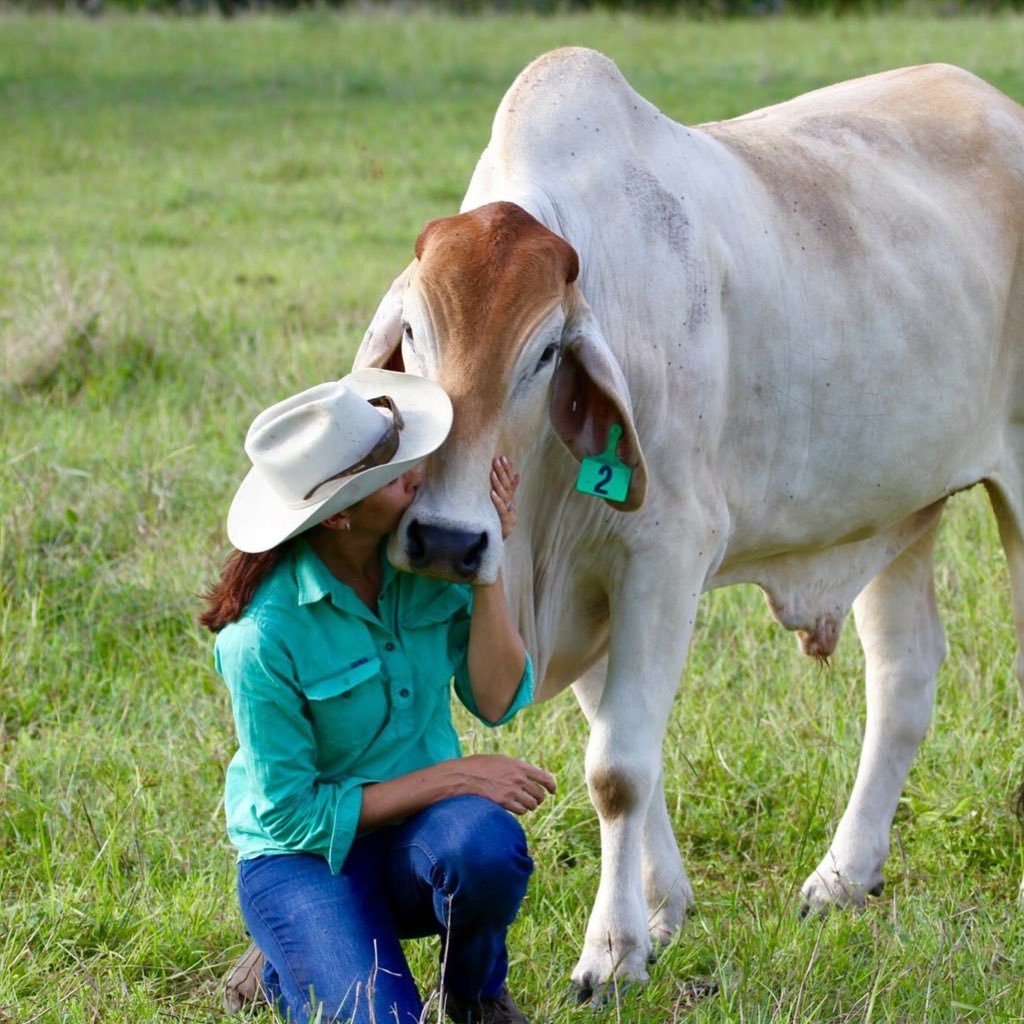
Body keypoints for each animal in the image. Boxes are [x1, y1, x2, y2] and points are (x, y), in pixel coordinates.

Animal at [352, 49, 1024, 999]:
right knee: (903, 679)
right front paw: (663, 912)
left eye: (544, 354)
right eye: (412, 334)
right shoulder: (590, 589)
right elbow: (626, 752)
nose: (448, 540)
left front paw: (611, 952)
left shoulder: (662, 560)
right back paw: (845, 875)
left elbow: (618, 770)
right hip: (896, 507)